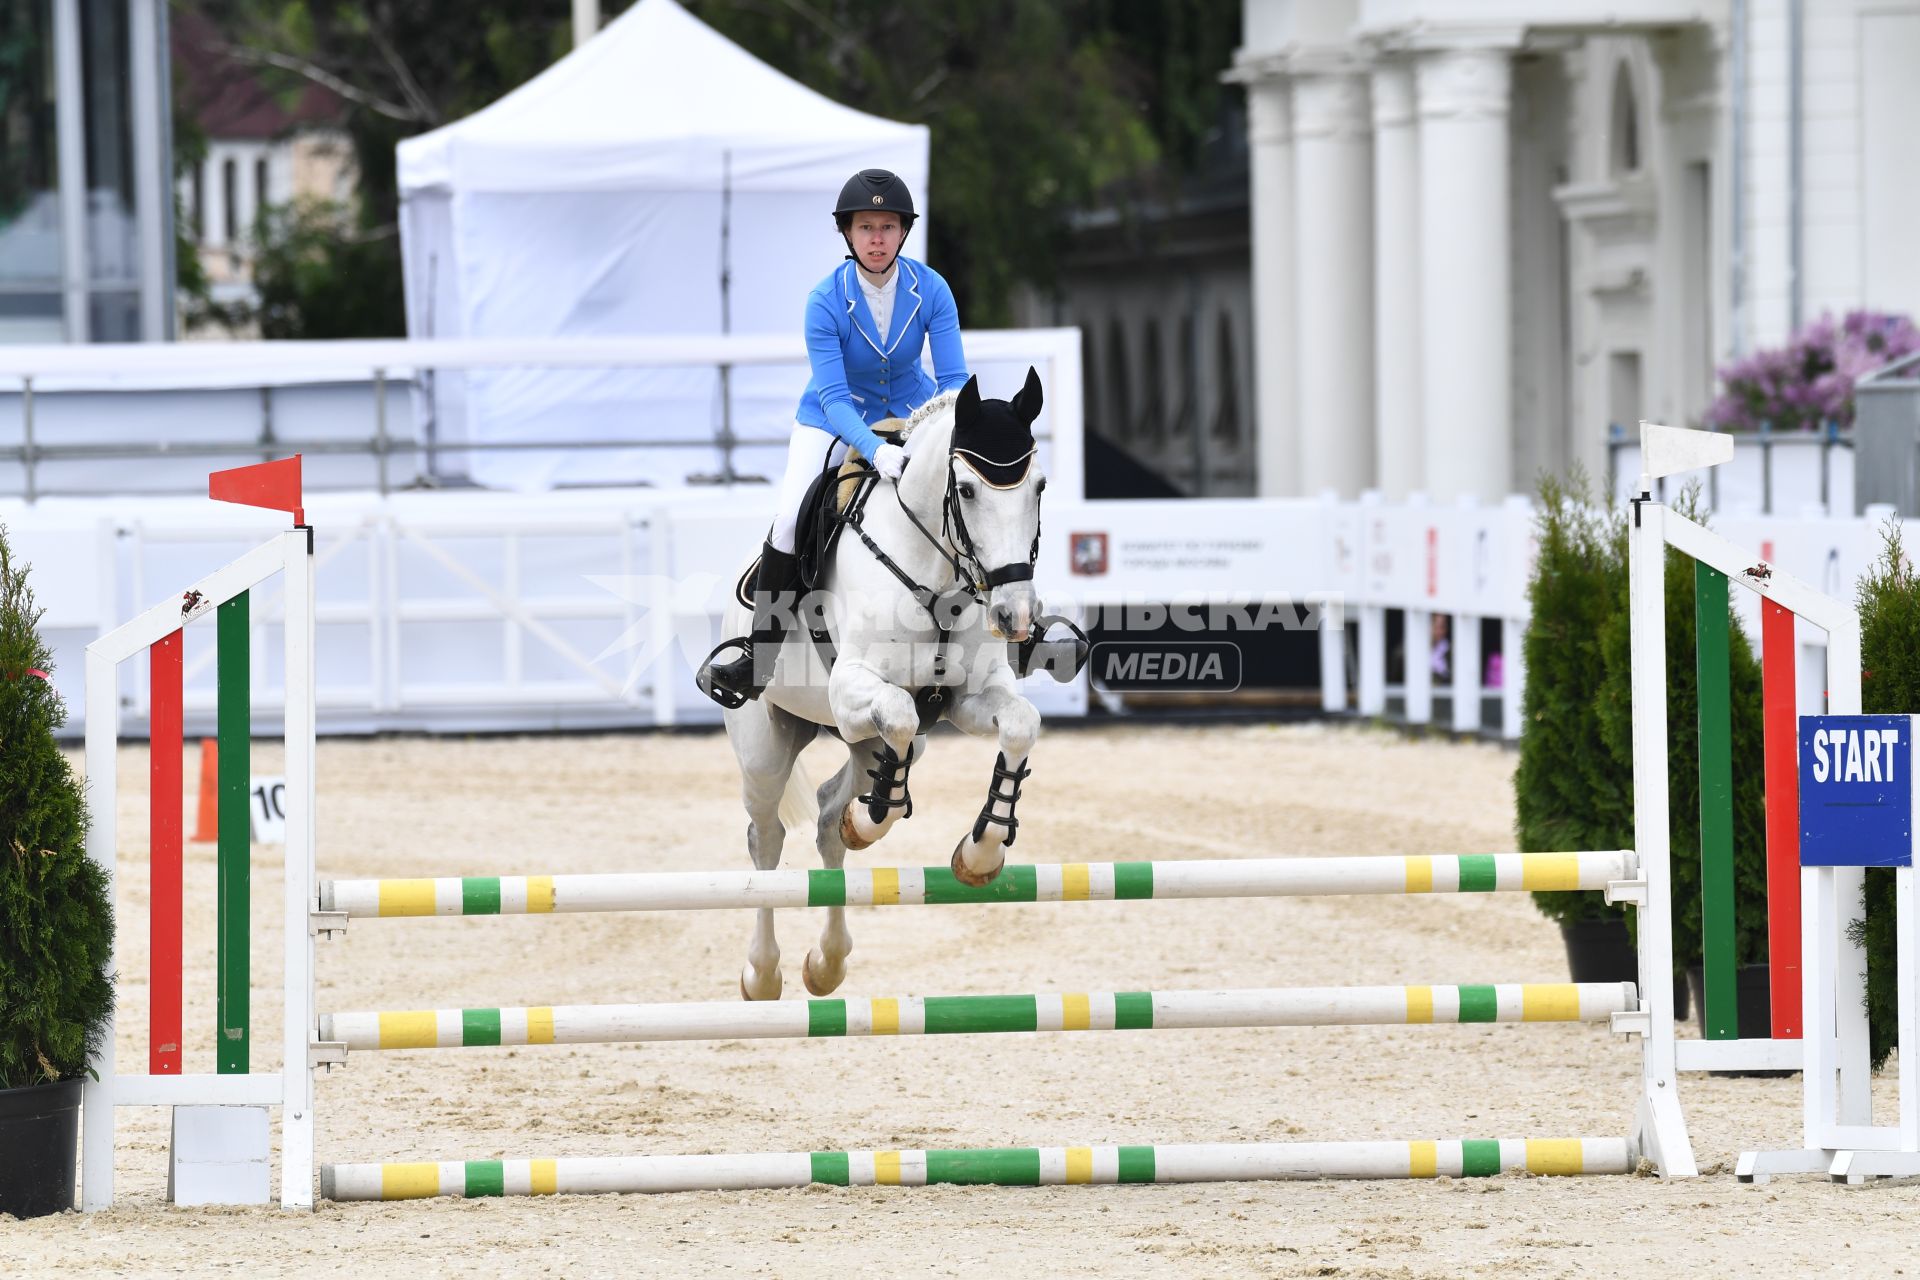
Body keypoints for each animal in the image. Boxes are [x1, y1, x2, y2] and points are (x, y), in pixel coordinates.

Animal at [721, 370, 1052, 997]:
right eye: (967, 491)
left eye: (1039, 487)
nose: (1015, 615)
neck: (937, 572)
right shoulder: (852, 687)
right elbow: (898, 710)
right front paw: (872, 819)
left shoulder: (966, 701)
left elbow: (1021, 724)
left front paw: (980, 853)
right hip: (763, 747)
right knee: (765, 838)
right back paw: (762, 972)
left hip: (870, 740)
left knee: (829, 815)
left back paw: (826, 962)